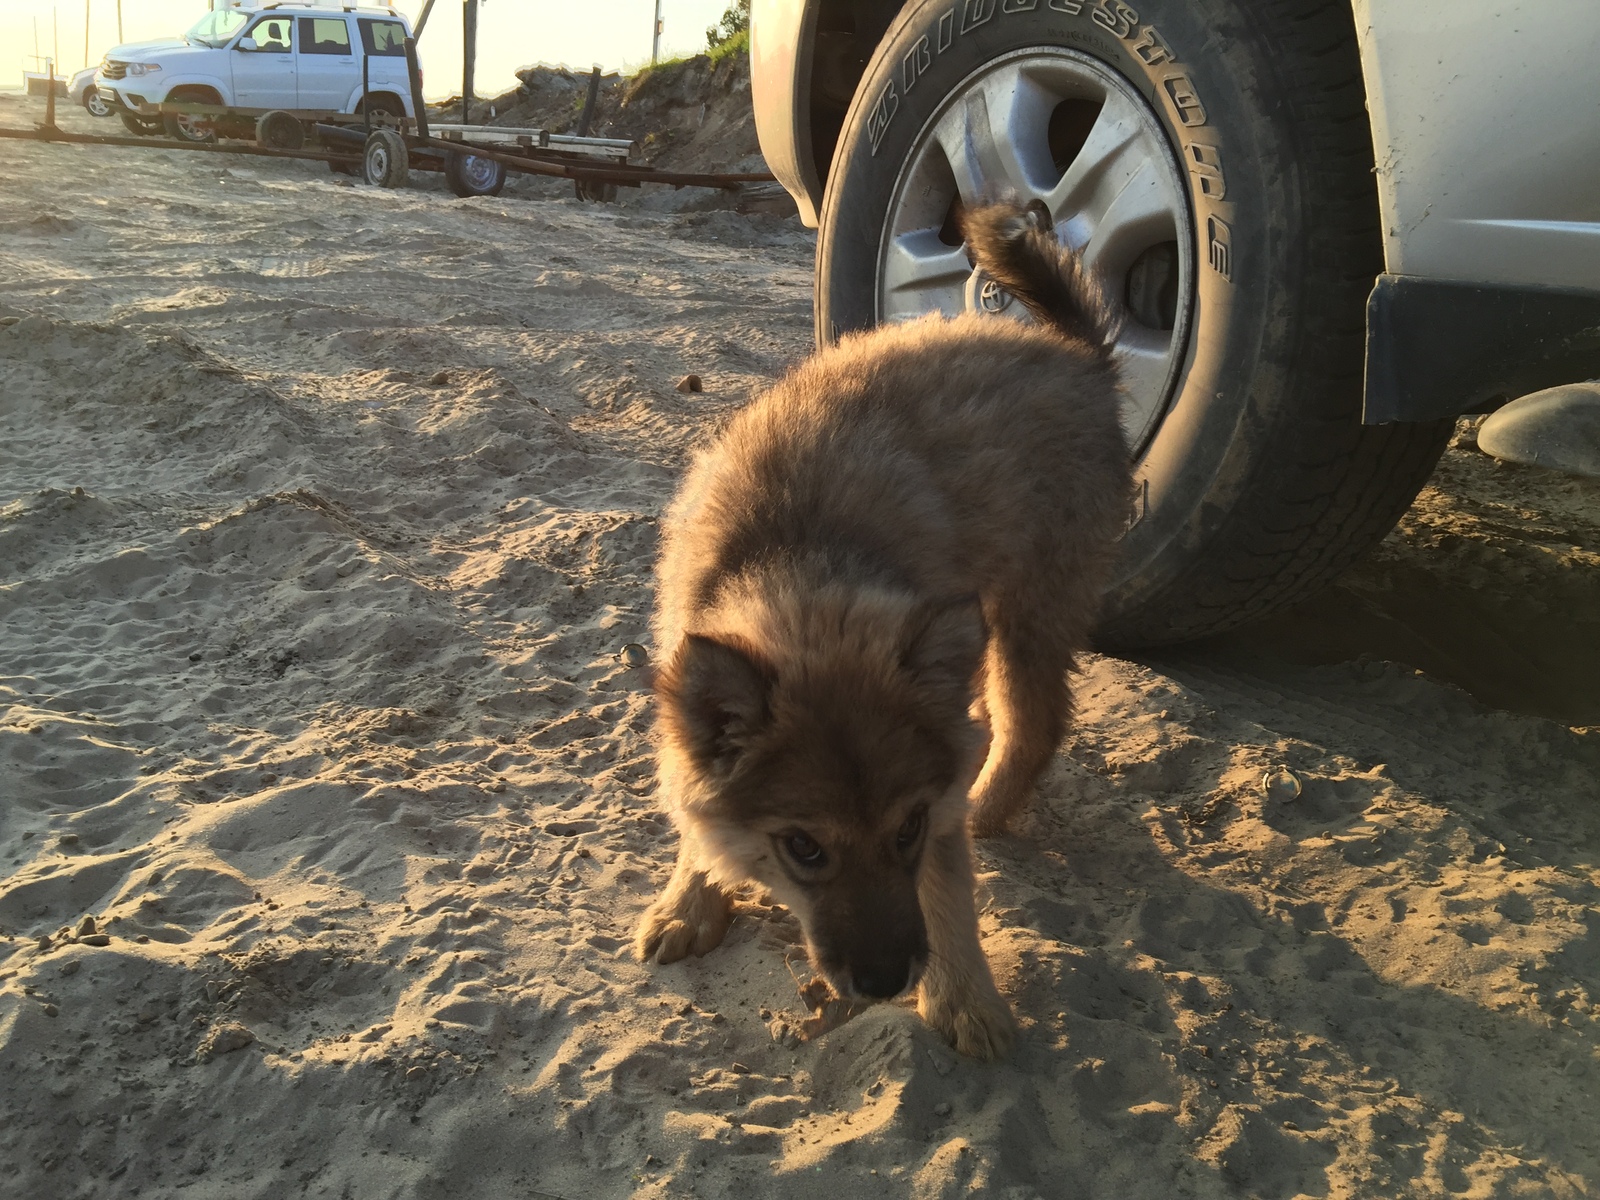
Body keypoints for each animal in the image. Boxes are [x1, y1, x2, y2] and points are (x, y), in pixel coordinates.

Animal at [630, 206, 1132, 1062]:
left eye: (909, 827)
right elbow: (695, 809)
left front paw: (966, 1000)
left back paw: (990, 802)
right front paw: (689, 901)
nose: (887, 980)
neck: (797, 553)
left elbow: (948, 894)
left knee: (1034, 721)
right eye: (804, 848)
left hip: (1030, 607)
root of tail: (1079, 355)